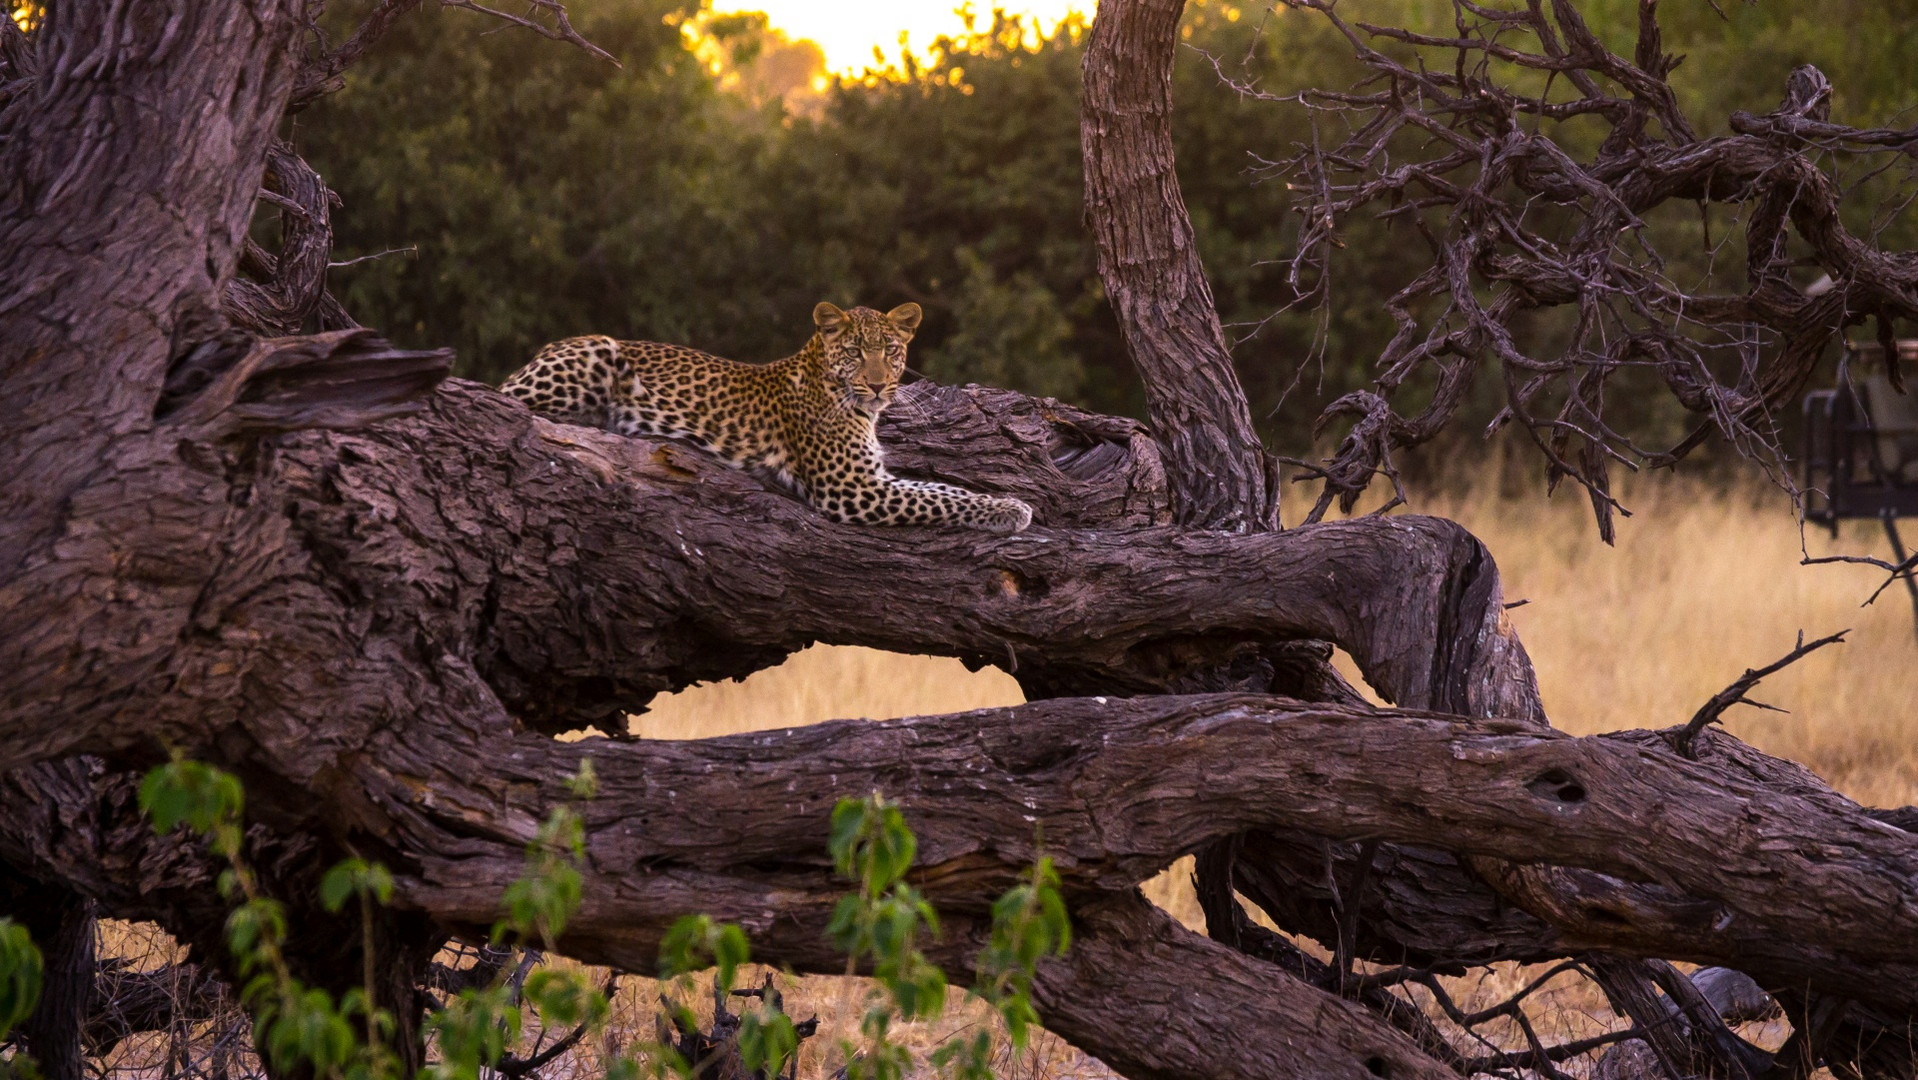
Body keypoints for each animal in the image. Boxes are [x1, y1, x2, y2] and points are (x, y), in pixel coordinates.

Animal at [498, 299, 1035, 533]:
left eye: (891, 350)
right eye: (856, 352)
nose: (881, 385)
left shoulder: (874, 477)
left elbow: (943, 489)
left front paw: (1012, 503)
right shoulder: (852, 489)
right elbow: (939, 500)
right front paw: (1008, 513)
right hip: (599, 349)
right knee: (517, 404)